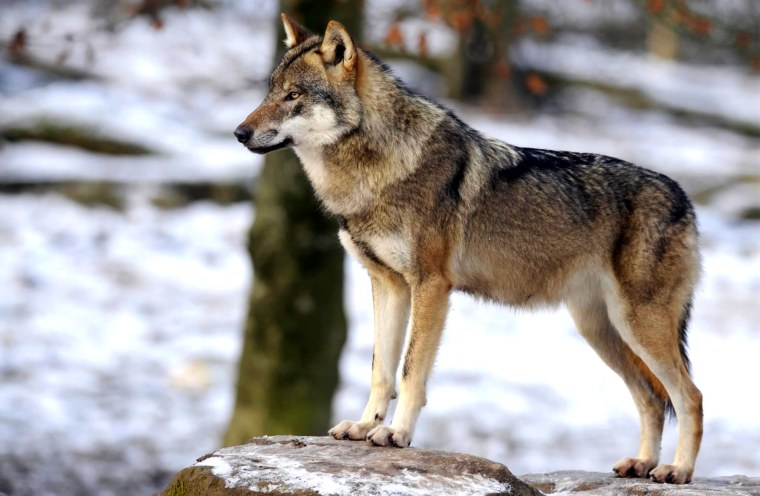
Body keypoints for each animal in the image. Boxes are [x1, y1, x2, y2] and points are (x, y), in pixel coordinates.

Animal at [233, 14, 703, 484]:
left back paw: (676, 470)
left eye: (294, 95)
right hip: (602, 330)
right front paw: (365, 426)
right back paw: (642, 463)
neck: (375, 170)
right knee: (650, 398)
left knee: (690, 396)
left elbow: (410, 370)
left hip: (637, 325)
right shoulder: (388, 285)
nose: (239, 133)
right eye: (269, 90)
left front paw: (396, 434)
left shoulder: (431, 286)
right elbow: (381, 370)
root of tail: (685, 199)